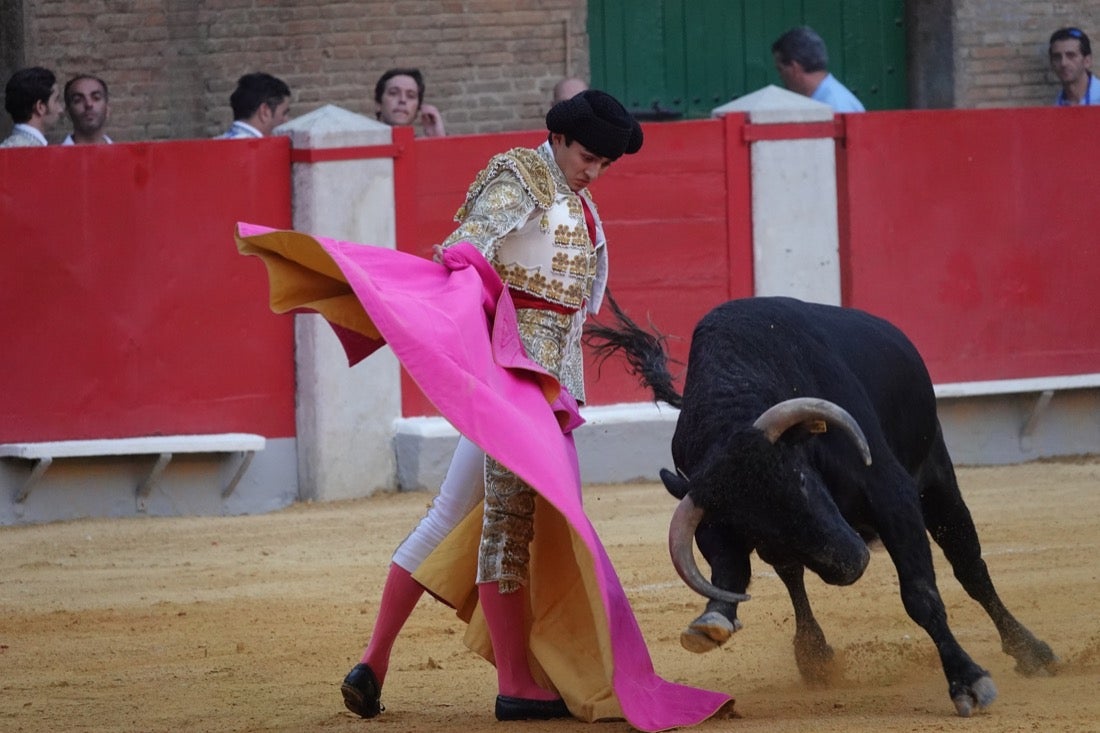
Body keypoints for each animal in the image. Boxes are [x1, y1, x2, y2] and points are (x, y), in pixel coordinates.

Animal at [589, 294, 1060, 708]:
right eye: (752, 526)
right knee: (793, 574)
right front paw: (713, 621)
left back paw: (1032, 651)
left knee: (970, 568)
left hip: (937, 478)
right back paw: (813, 656)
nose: (850, 564)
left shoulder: (893, 496)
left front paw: (967, 680)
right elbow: (729, 570)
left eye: (801, 478)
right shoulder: (713, 519)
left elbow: (921, 595)